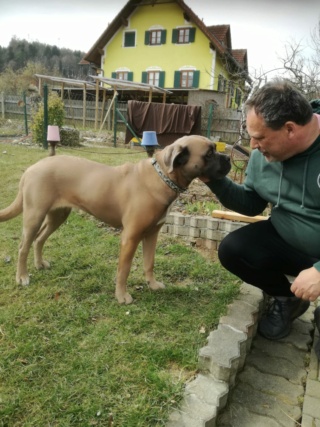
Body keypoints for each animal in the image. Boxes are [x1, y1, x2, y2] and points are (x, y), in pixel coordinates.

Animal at [0, 135, 230, 306]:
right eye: (209, 153)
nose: (228, 158)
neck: (162, 176)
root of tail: (31, 169)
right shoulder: (130, 237)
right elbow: (124, 269)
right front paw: (122, 296)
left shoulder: (151, 234)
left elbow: (149, 262)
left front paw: (152, 285)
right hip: (34, 215)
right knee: (23, 246)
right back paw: (22, 277)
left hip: (58, 215)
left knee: (39, 239)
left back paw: (39, 264)